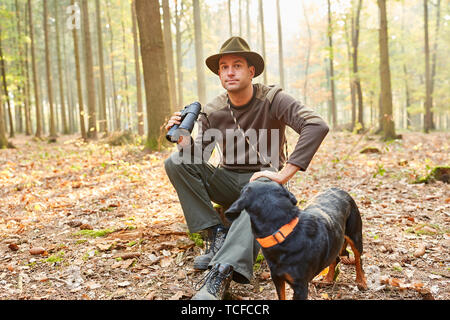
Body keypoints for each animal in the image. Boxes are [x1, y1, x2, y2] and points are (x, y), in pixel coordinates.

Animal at [227, 180, 368, 300]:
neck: (283, 233)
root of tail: (339, 189)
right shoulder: (277, 278)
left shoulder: (300, 287)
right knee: (335, 258)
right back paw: (328, 279)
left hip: (355, 235)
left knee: (358, 259)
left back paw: (361, 282)